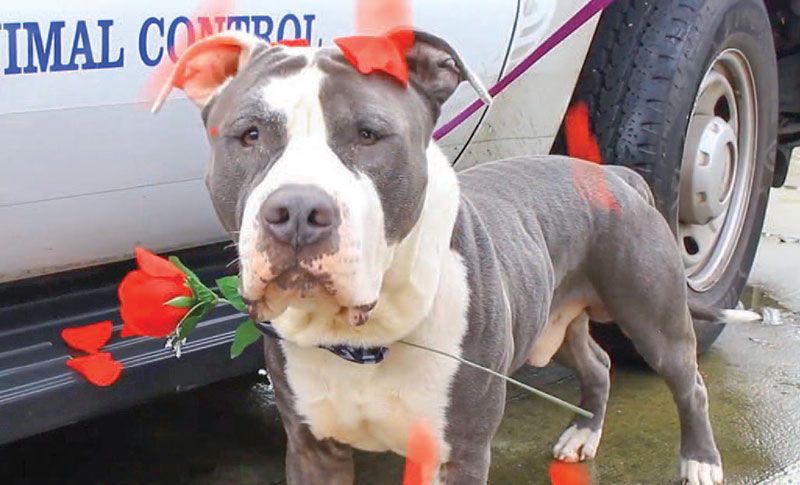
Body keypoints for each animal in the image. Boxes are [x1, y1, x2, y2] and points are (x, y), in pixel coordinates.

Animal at [152, 29, 756, 480]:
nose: (297, 211)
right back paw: (584, 434)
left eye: (370, 134)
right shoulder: (311, 448)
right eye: (249, 134)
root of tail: (613, 174)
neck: (364, 340)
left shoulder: (458, 452)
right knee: (598, 363)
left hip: (652, 314)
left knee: (688, 381)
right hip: (552, 319)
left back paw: (701, 462)